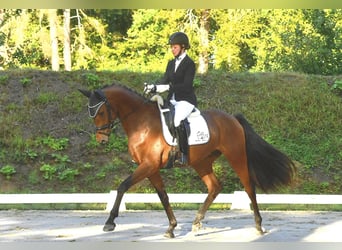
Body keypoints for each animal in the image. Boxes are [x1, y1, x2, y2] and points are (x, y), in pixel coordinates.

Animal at [79, 84, 296, 238]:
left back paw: (259, 225)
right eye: (91, 114)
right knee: (215, 187)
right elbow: (163, 196)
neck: (142, 123)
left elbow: (122, 186)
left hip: (236, 155)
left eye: (100, 112)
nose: (101, 140)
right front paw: (171, 228)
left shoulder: (148, 165)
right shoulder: (151, 168)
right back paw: (196, 223)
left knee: (249, 186)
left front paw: (110, 222)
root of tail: (233, 118)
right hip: (201, 162)